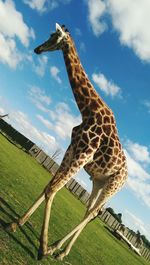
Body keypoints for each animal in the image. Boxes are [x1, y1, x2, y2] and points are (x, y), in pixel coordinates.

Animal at [8, 23, 127, 260]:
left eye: (54, 36)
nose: (37, 49)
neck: (88, 110)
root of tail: (127, 176)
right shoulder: (71, 150)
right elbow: (49, 185)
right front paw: (17, 224)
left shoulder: (83, 155)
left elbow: (53, 189)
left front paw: (42, 247)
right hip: (99, 181)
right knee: (90, 210)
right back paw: (60, 249)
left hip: (114, 185)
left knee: (94, 212)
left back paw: (56, 249)